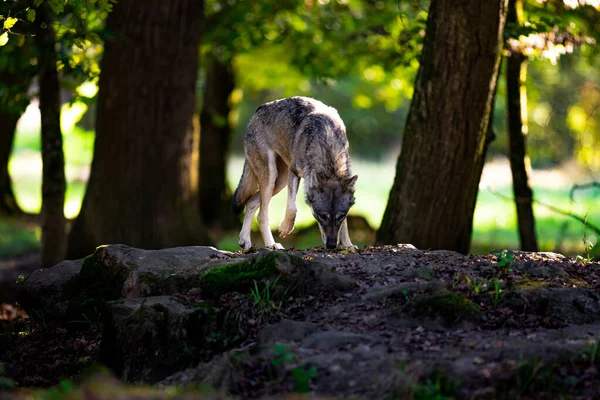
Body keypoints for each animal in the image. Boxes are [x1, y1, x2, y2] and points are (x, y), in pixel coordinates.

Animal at [233, 96, 356, 250]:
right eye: (322, 215)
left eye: (340, 216)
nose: (332, 245)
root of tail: (259, 109)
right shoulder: (294, 172)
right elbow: (292, 208)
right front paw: (286, 228)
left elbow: (345, 225)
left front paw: (347, 245)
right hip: (271, 177)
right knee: (261, 215)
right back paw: (272, 244)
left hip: (279, 182)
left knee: (251, 201)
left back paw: (245, 241)